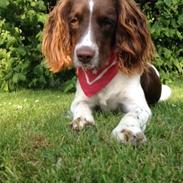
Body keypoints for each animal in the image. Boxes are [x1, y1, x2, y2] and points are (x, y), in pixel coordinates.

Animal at [41, 0, 172, 145]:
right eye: (74, 20)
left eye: (107, 22)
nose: (84, 56)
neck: (100, 72)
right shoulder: (81, 99)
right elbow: (81, 106)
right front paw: (82, 121)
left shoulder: (139, 105)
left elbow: (133, 114)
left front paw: (128, 130)